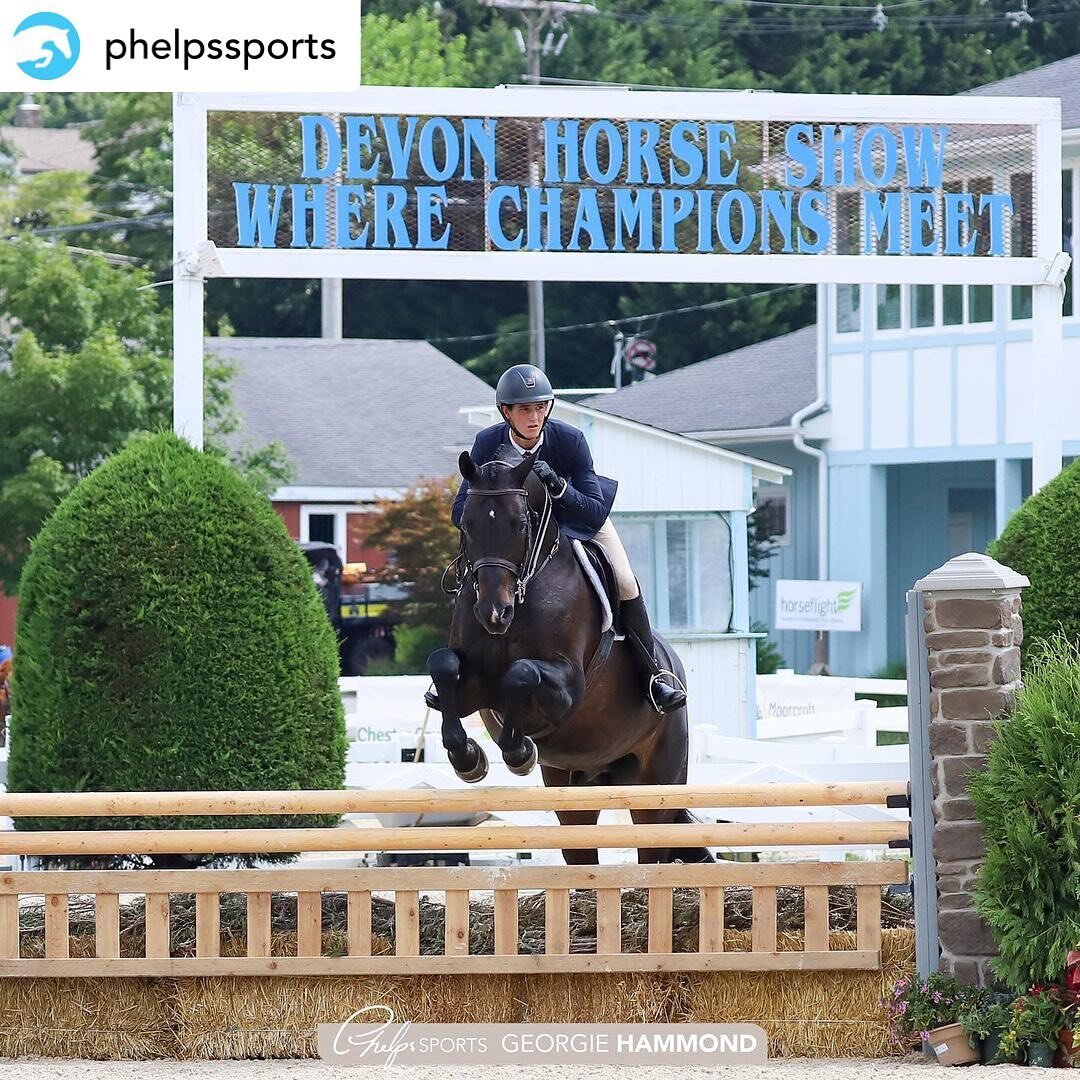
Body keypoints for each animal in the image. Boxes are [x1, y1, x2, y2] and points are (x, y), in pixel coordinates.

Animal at [425, 451, 712, 864]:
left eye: (519, 524)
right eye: (467, 523)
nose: (493, 613)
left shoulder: (567, 690)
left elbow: (521, 673)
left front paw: (518, 753)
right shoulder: (475, 688)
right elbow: (444, 666)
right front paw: (469, 759)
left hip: (655, 786)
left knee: (652, 846)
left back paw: (663, 691)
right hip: (575, 792)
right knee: (582, 853)